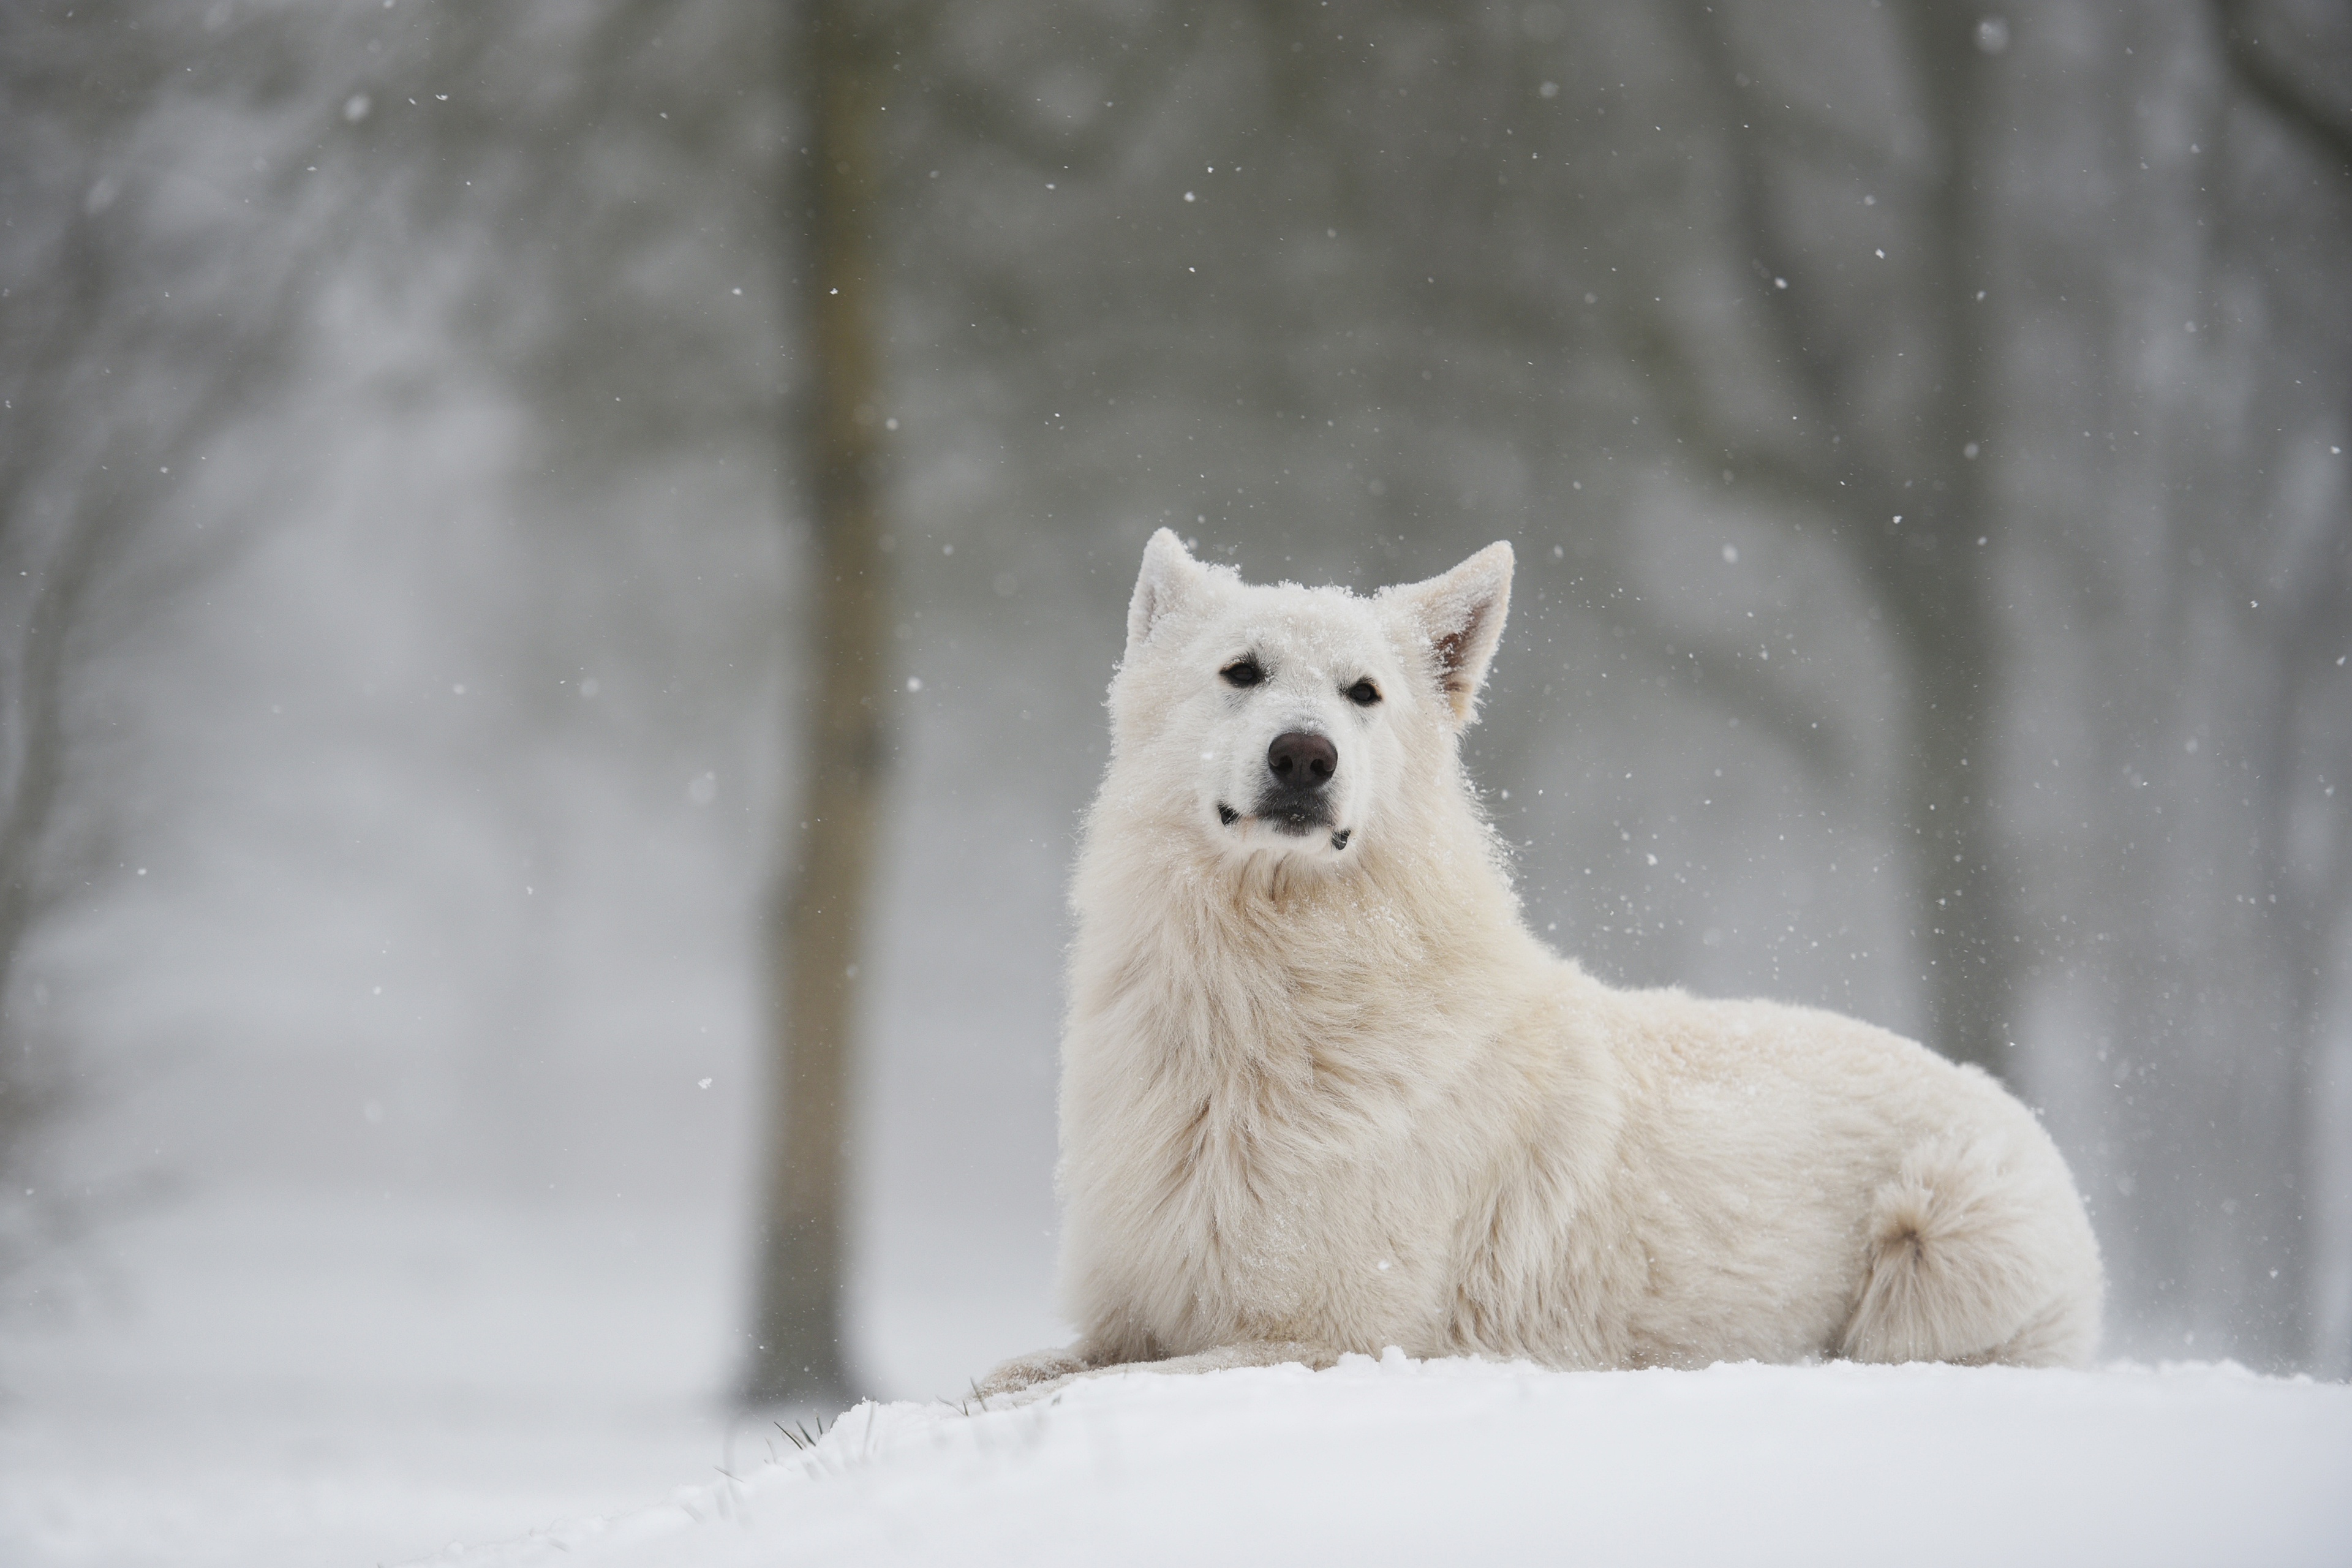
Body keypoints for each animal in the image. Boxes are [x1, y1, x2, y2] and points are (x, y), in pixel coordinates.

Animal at [973, 533, 2098, 1392]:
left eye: (1363, 694)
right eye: (1241, 672)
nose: (1305, 756)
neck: (1263, 984)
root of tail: (2015, 1108)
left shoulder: (1321, 1338)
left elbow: (1086, 1393)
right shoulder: (1132, 1312)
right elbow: (1001, 1381)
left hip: (1943, 1243)